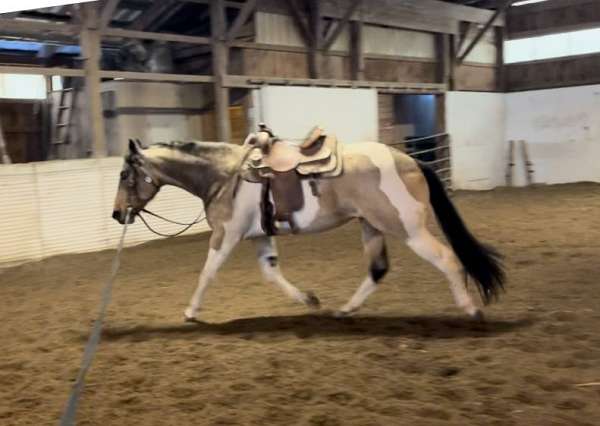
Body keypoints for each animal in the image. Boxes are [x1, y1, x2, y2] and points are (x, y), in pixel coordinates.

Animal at [113, 131, 506, 322]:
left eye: (124, 174)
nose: (118, 214)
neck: (225, 174)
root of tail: (412, 162)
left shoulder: (226, 235)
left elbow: (207, 273)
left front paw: (191, 312)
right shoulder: (259, 237)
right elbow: (271, 273)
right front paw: (309, 300)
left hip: (408, 229)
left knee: (447, 259)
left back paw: (471, 310)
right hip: (371, 226)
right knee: (378, 269)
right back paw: (345, 310)